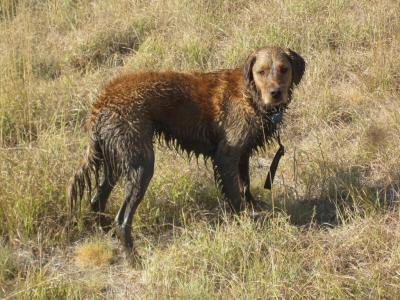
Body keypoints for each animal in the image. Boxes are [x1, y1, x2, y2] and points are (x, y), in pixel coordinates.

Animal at [69, 47, 306, 253]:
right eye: (261, 71)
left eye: (284, 69)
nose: (276, 93)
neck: (250, 94)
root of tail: (101, 102)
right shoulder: (226, 156)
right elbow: (234, 196)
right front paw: (244, 223)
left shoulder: (242, 153)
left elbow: (245, 185)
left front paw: (254, 206)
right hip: (142, 165)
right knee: (122, 219)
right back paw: (135, 259)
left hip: (120, 160)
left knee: (96, 201)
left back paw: (109, 235)